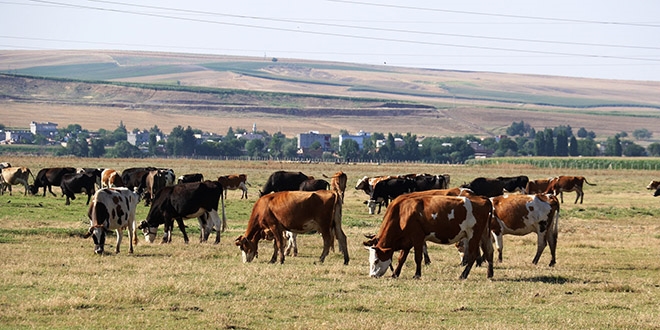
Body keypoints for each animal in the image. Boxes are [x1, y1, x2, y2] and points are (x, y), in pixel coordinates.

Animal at [364, 195, 492, 280]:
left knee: (473, 255)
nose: (372, 276)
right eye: (370, 260)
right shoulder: (407, 241)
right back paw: (489, 274)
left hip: (473, 235)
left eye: (376, 260)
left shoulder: (417, 238)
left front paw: (417, 275)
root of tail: (483, 199)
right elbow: (401, 259)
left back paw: (463, 275)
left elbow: (418, 258)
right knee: (489, 251)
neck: (402, 213)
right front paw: (395, 274)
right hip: (483, 235)